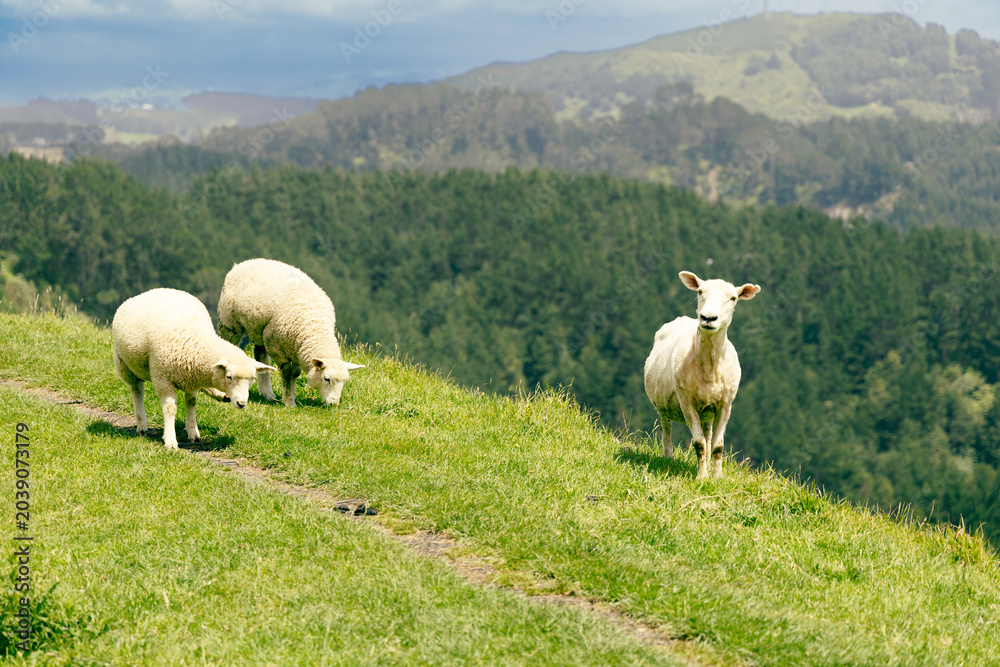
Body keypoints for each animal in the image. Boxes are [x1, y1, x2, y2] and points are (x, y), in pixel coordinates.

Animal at [112, 288, 276, 449]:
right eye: (229, 376)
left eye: (252, 379)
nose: (242, 404)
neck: (195, 340)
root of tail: (149, 291)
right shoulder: (163, 379)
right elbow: (170, 409)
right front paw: (170, 440)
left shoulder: (192, 377)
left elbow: (191, 403)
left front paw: (192, 431)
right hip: (125, 366)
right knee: (137, 391)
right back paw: (142, 424)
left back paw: (219, 395)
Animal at [216, 258, 364, 408]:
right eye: (326, 378)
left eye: (344, 381)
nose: (334, 404)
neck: (314, 326)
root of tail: (246, 262)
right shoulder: (275, 344)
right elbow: (288, 372)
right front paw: (289, 401)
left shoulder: (297, 348)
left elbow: (295, 373)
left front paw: (292, 396)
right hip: (229, 322)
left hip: (260, 329)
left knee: (260, 354)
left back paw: (266, 393)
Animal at [644, 271, 760, 479]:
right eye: (699, 291)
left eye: (733, 298)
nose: (708, 318)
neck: (709, 367)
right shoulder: (686, 402)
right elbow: (699, 444)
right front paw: (701, 478)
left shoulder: (726, 404)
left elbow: (717, 446)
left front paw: (717, 477)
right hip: (664, 405)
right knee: (666, 429)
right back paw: (668, 457)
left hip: (707, 411)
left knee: (708, 434)